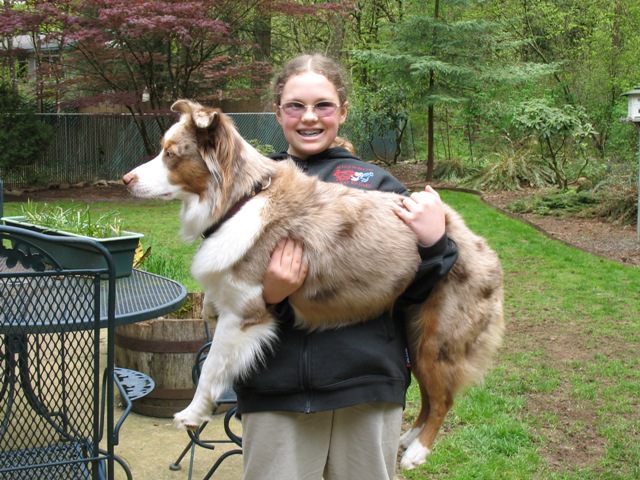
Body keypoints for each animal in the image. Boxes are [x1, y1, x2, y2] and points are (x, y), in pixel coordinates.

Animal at [122, 99, 505, 470]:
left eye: (171, 154)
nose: (125, 179)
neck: (241, 199)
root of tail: (482, 246)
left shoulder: (244, 313)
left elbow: (210, 371)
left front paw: (191, 414)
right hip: (416, 335)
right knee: (428, 396)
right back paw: (409, 438)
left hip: (437, 343)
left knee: (442, 400)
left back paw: (417, 452)